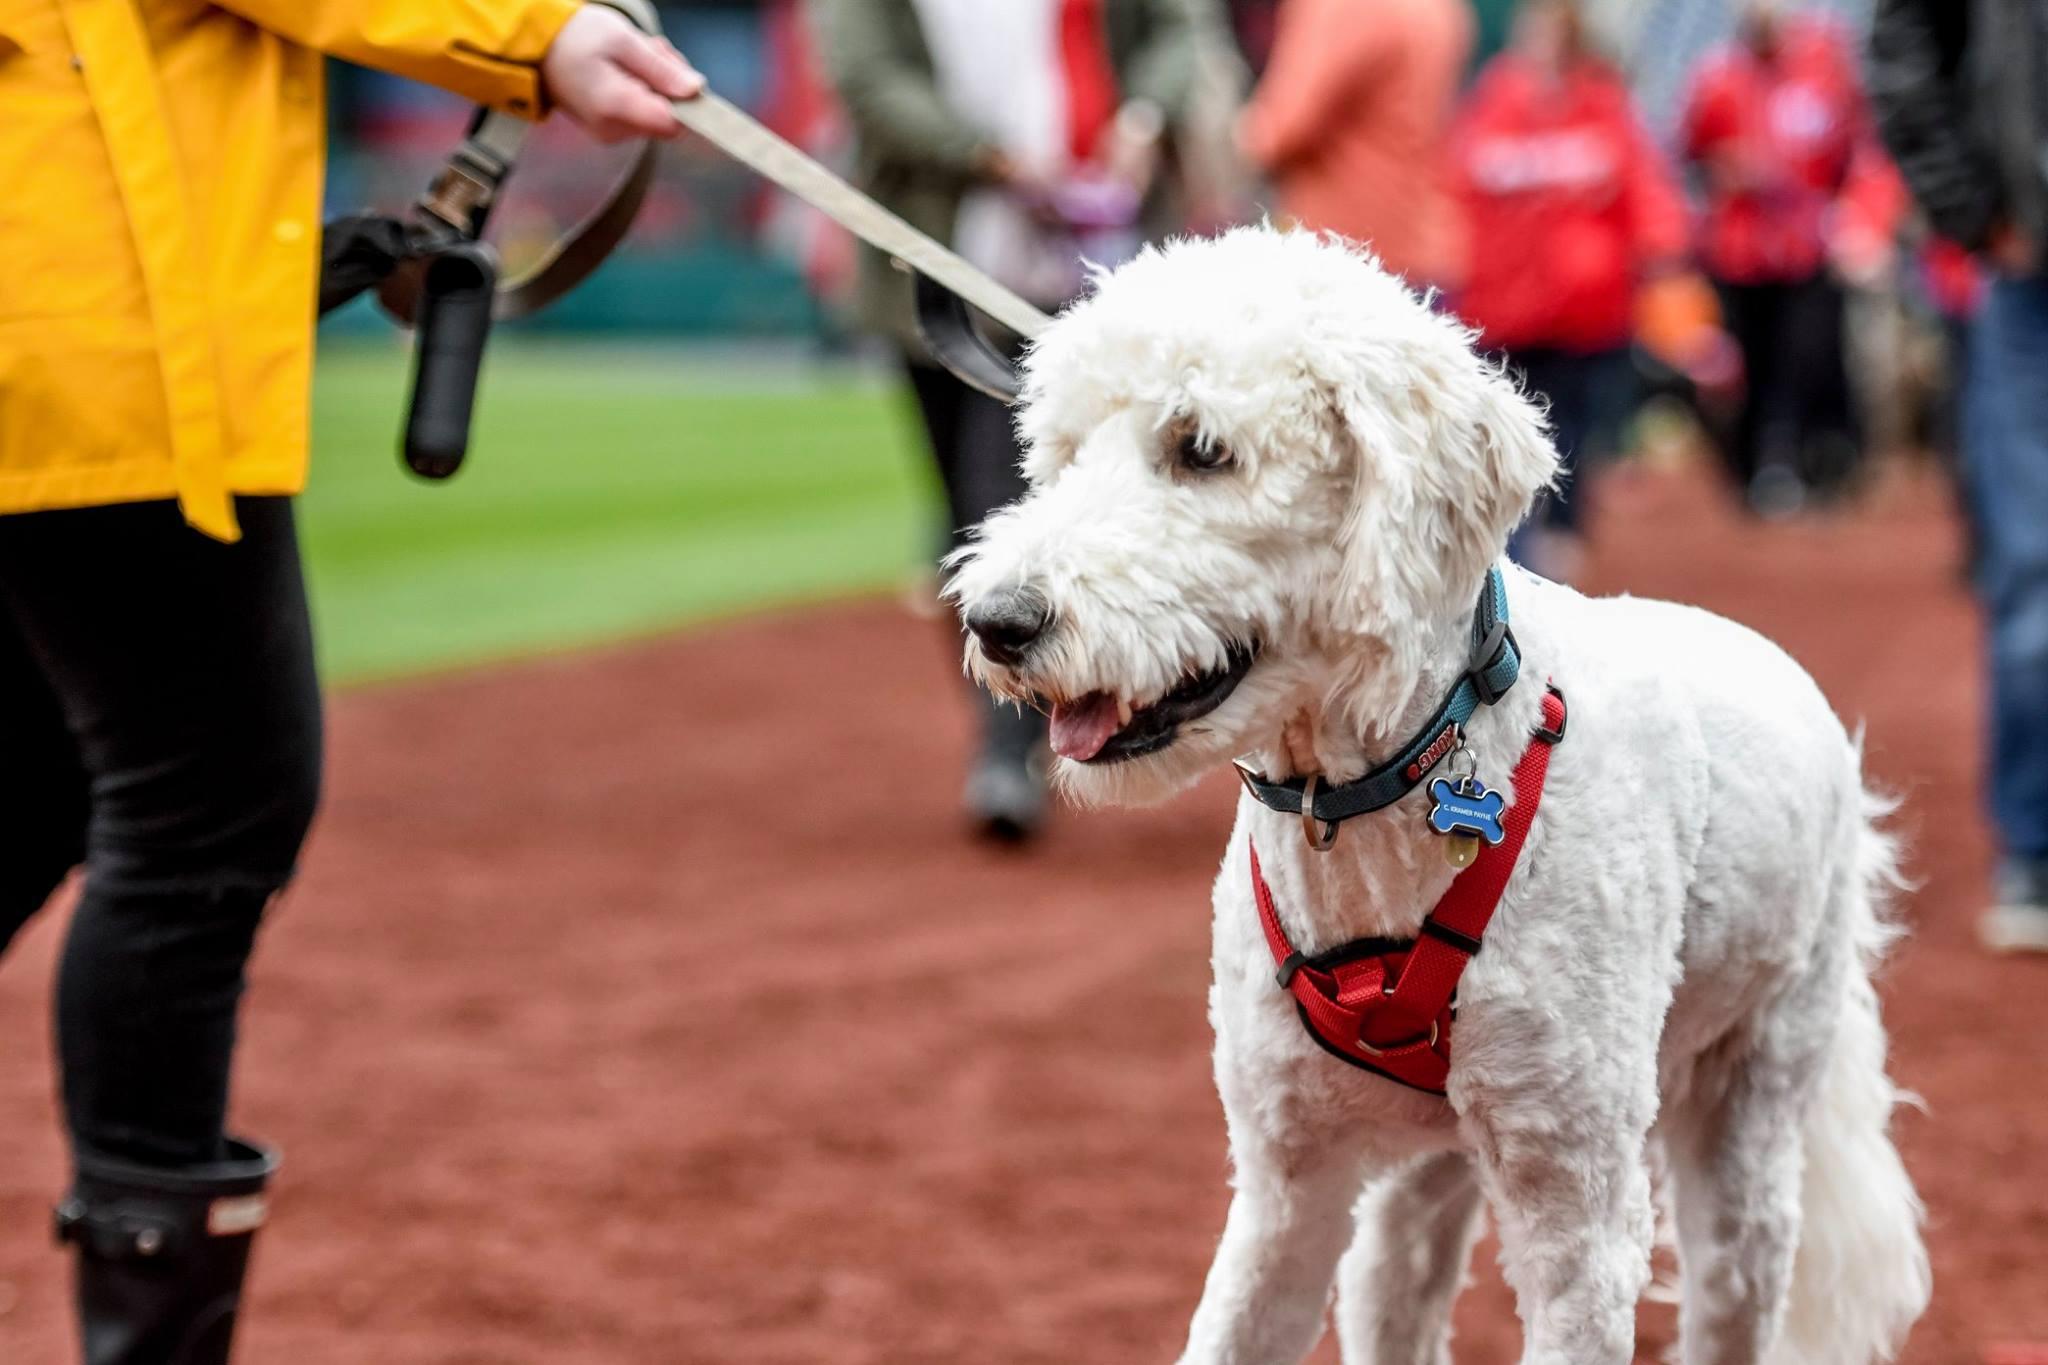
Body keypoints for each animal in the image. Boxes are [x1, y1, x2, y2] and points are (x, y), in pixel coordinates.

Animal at [950, 232, 1925, 1365]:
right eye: (1062, 454)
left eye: (1201, 449)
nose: (996, 620)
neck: (1374, 805)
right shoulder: (1286, 1187)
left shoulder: (1578, 1217)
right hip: (1427, 1172)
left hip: (1751, 1112)